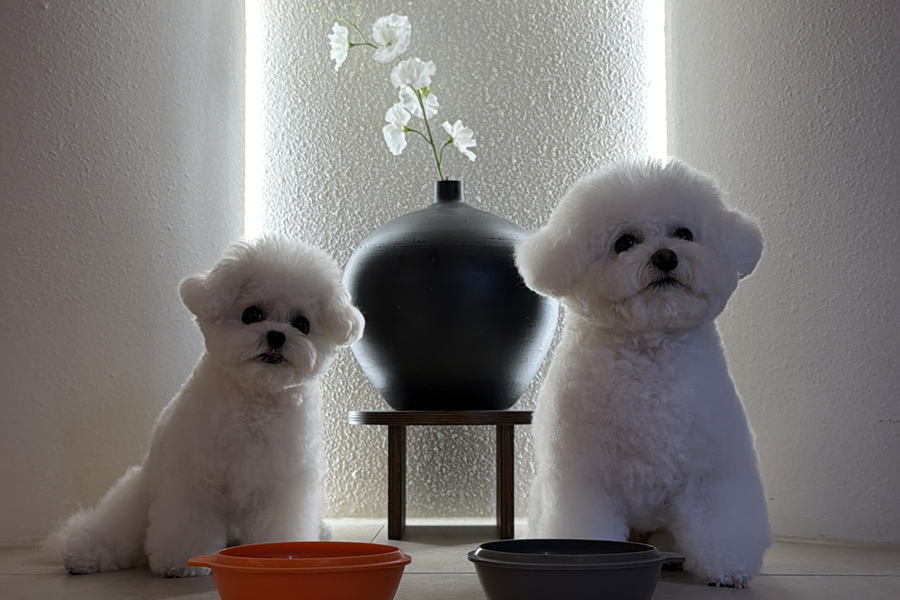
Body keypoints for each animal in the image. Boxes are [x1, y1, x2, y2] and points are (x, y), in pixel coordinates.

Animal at [51, 236, 364, 577]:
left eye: (302, 324)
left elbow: (279, 524)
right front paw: (181, 561)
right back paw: (84, 555)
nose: (277, 335)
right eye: (251, 314)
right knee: (109, 530)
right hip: (135, 496)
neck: (254, 401)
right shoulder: (192, 479)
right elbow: (187, 525)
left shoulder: (282, 487)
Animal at [516, 159, 771, 587]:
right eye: (625, 242)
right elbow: (585, 526)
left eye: (684, 234)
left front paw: (728, 571)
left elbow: (721, 525)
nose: (666, 256)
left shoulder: (713, 475)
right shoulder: (584, 481)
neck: (650, 355)